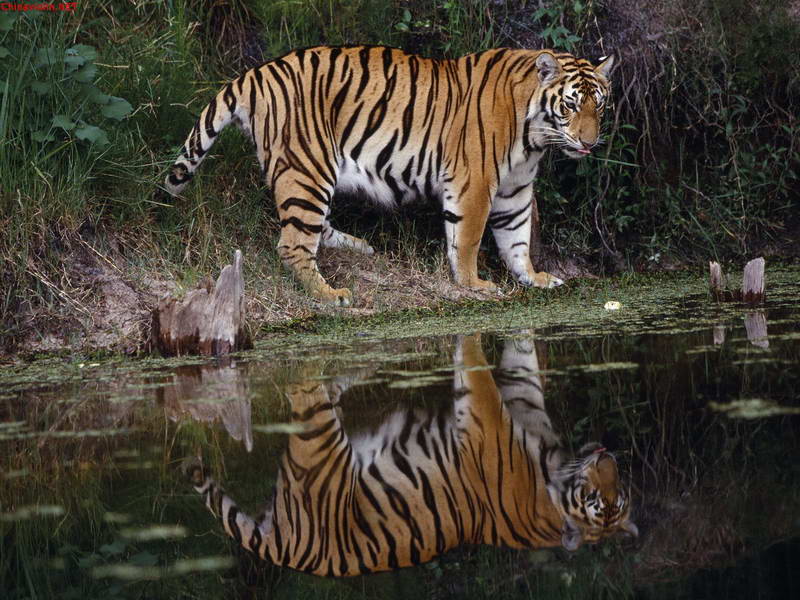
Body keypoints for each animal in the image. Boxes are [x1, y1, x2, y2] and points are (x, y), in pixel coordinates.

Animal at [164, 46, 615, 306]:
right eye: (570, 105)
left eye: (600, 106)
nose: (590, 143)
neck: (534, 136)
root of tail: (256, 74)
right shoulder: (474, 182)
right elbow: (467, 238)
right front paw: (474, 284)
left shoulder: (515, 188)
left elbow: (518, 237)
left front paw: (533, 278)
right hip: (307, 167)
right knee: (292, 243)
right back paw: (331, 294)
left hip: (309, 175)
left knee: (313, 228)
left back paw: (358, 247)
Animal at [184, 333, 637, 576]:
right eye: (597, 499)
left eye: (616, 498)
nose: (608, 457)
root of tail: (291, 553)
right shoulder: (490, 421)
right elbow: (486, 373)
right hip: (321, 437)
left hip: (315, 444)